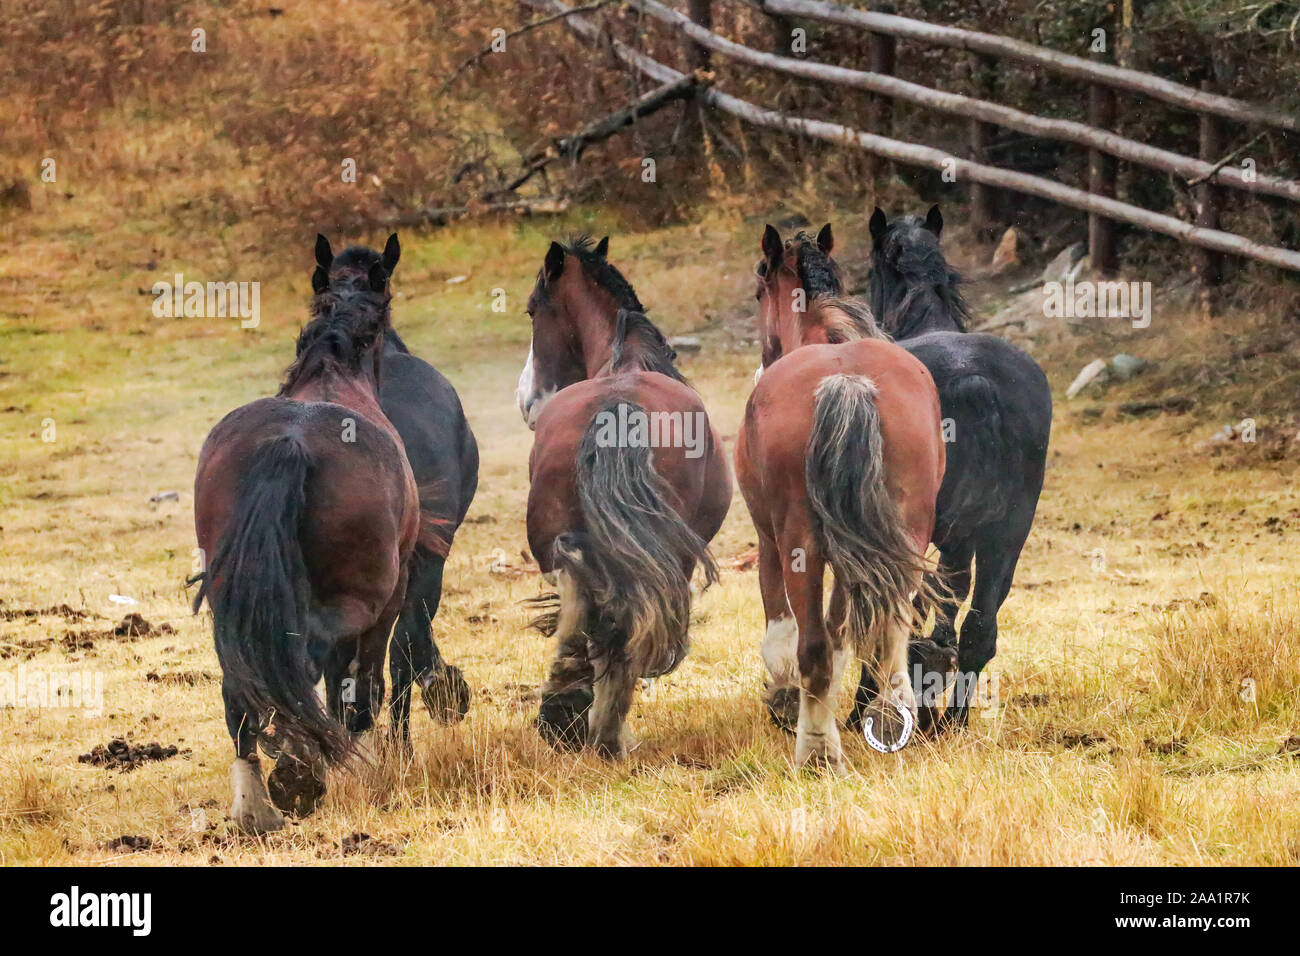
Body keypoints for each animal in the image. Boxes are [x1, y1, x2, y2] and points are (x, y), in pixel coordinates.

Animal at [193, 261, 419, 833]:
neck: (332, 375)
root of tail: (288, 441)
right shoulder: (391, 597)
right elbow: (361, 686)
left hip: (232, 602)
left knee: (241, 687)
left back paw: (254, 804)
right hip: (360, 600)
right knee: (314, 662)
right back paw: (298, 773)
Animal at [515, 235, 731, 758]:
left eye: (532, 311)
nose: (526, 401)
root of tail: (616, 407)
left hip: (565, 544)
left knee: (582, 606)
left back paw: (571, 715)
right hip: (669, 556)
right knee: (616, 629)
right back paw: (601, 731)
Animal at [737, 223, 946, 769]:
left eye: (758, 289)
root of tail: (845, 379)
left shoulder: (768, 541)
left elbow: (783, 636)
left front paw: (783, 698)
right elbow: (840, 633)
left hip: (799, 545)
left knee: (810, 646)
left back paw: (816, 751)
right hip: (907, 534)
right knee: (891, 628)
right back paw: (891, 717)